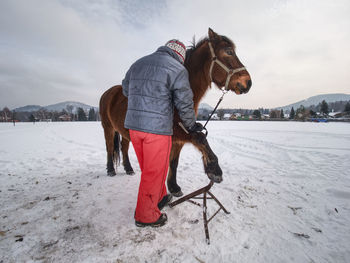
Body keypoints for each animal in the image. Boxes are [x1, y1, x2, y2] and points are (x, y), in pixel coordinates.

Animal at [98, 28, 252, 198]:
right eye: (229, 51)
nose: (248, 82)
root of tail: (108, 92)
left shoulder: (178, 139)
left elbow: (174, 162)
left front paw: (173, 187)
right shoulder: (178, 131)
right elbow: (201, 138)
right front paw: (214, 168)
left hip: (125, 132)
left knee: (124, 148)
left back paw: (129, 169)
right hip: (108, 128)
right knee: (109, 147)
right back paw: (111, 170)